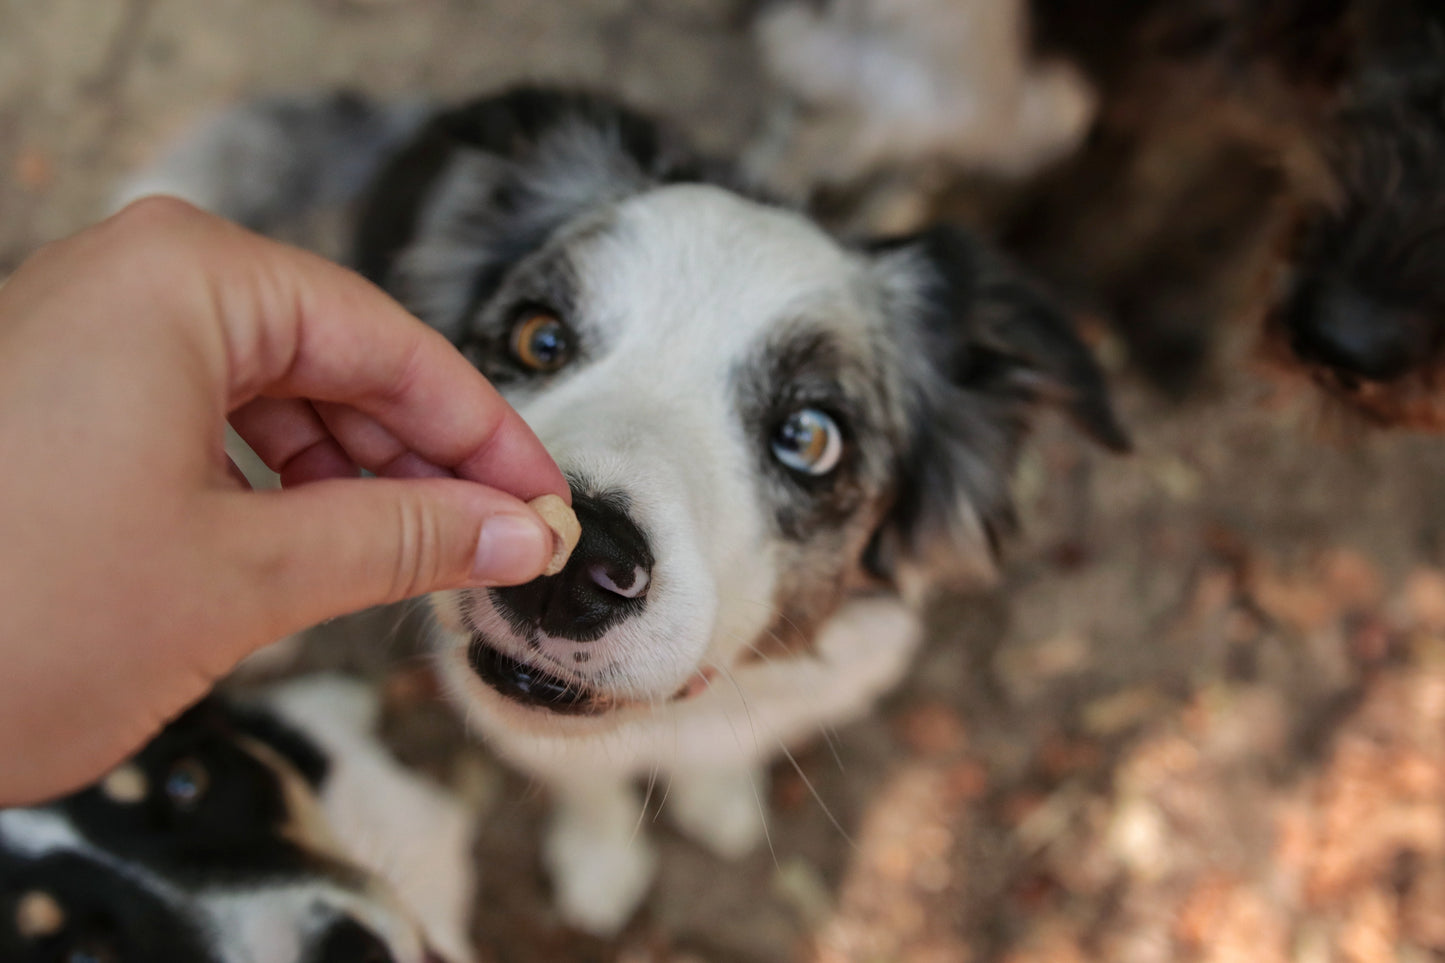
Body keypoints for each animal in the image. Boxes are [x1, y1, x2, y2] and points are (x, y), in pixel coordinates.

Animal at [121, 84, 1127, 931]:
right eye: (540, 336)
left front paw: (719, 799)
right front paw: (600, 865)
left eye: (810, 436)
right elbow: (587, 784)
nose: (567, 570)